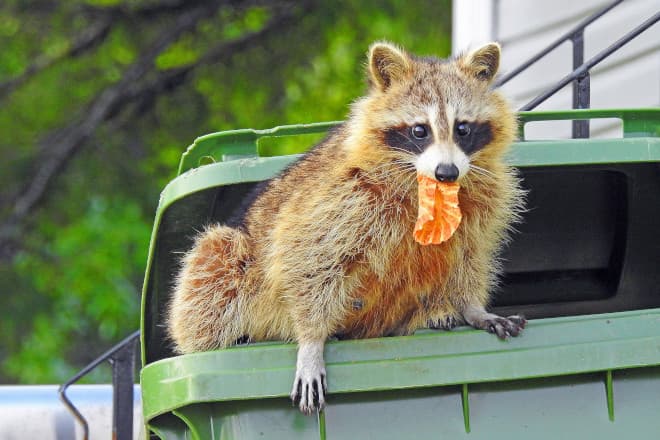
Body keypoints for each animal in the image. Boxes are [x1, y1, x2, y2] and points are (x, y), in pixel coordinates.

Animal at [169, 39, 524, 414]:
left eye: (463, 128)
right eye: (419, 130)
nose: (447, 172)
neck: (428, 186)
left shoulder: (482, 201)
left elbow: (469, 254)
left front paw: (472, 307)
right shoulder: (341, 197)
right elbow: (304, 257)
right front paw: (311, 340)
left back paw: (435, 313)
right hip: (230, 259)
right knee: (214, 263)